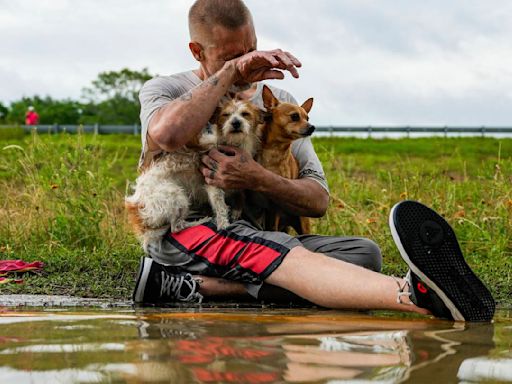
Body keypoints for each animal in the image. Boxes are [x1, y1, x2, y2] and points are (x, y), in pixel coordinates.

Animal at [260, 85, 316, 234]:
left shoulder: (277, 203)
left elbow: (272, 226)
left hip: (303, 222)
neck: (275, 150)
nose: (312, 127)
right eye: (295, 116)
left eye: (307, 118)